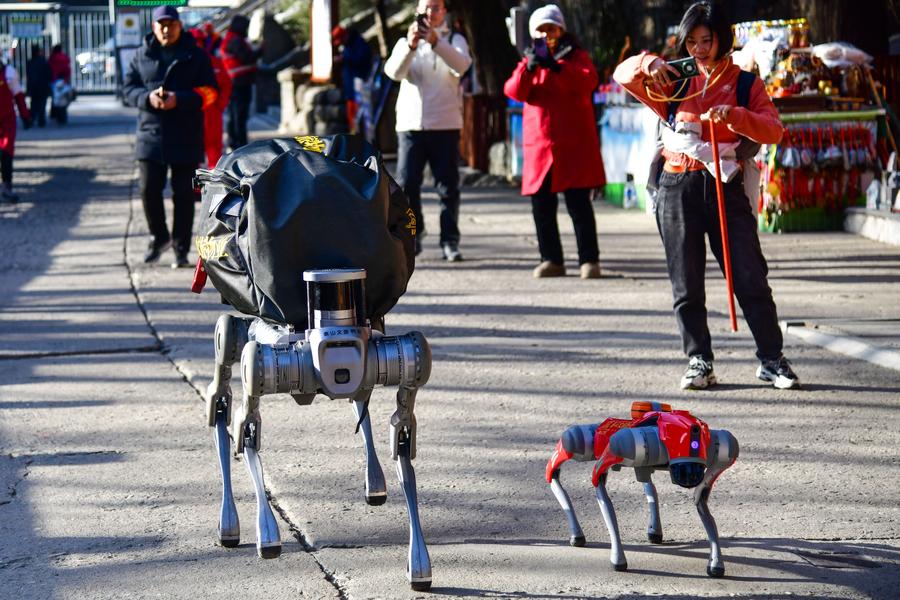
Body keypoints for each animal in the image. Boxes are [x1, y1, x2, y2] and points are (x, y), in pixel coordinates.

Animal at [206, 268, 434, 592]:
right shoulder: (259, 361)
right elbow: (244, 426)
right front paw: (265, 531)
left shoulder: (402, 359)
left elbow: (402, 434)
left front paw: (418, 563)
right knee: (226, 360)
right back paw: (231, 523)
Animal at [548, 404, 740, 576]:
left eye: (694, 470)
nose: (690, 478)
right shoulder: (623, 445)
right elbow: (599, 483)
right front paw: (618, 559)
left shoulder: (724, 451)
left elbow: (702, 501)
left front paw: (716, 563)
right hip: (587, 443)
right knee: (563, 451)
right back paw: (576, 534)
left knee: (649, 485)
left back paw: (654, 531)